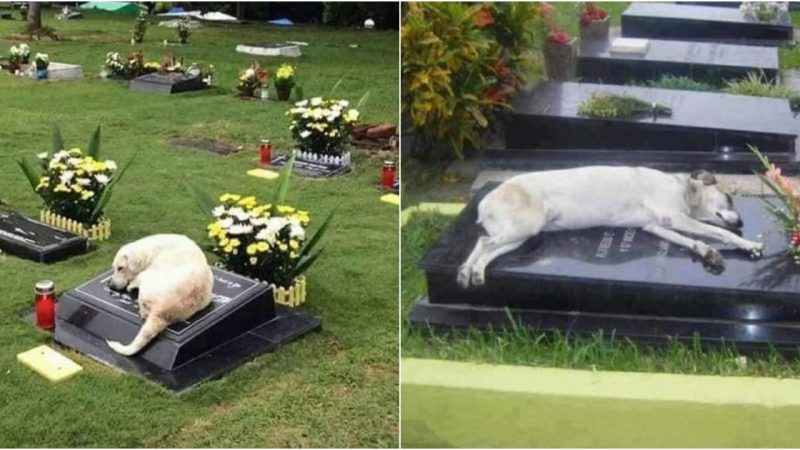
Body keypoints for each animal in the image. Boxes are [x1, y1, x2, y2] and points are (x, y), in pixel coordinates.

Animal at [456, 166, 764, 288]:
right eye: (729, 199)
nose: (743, 223)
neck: (683, 189)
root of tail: (484, 202)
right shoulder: (672, 217)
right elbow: (719, 232)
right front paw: (748, 244)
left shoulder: (656, 226)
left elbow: (693, 241)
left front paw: (708, 253)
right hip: (524, 226)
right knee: (482, 243)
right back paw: (466, 271)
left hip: (519, 235)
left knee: (486, 249)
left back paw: (471, 273)